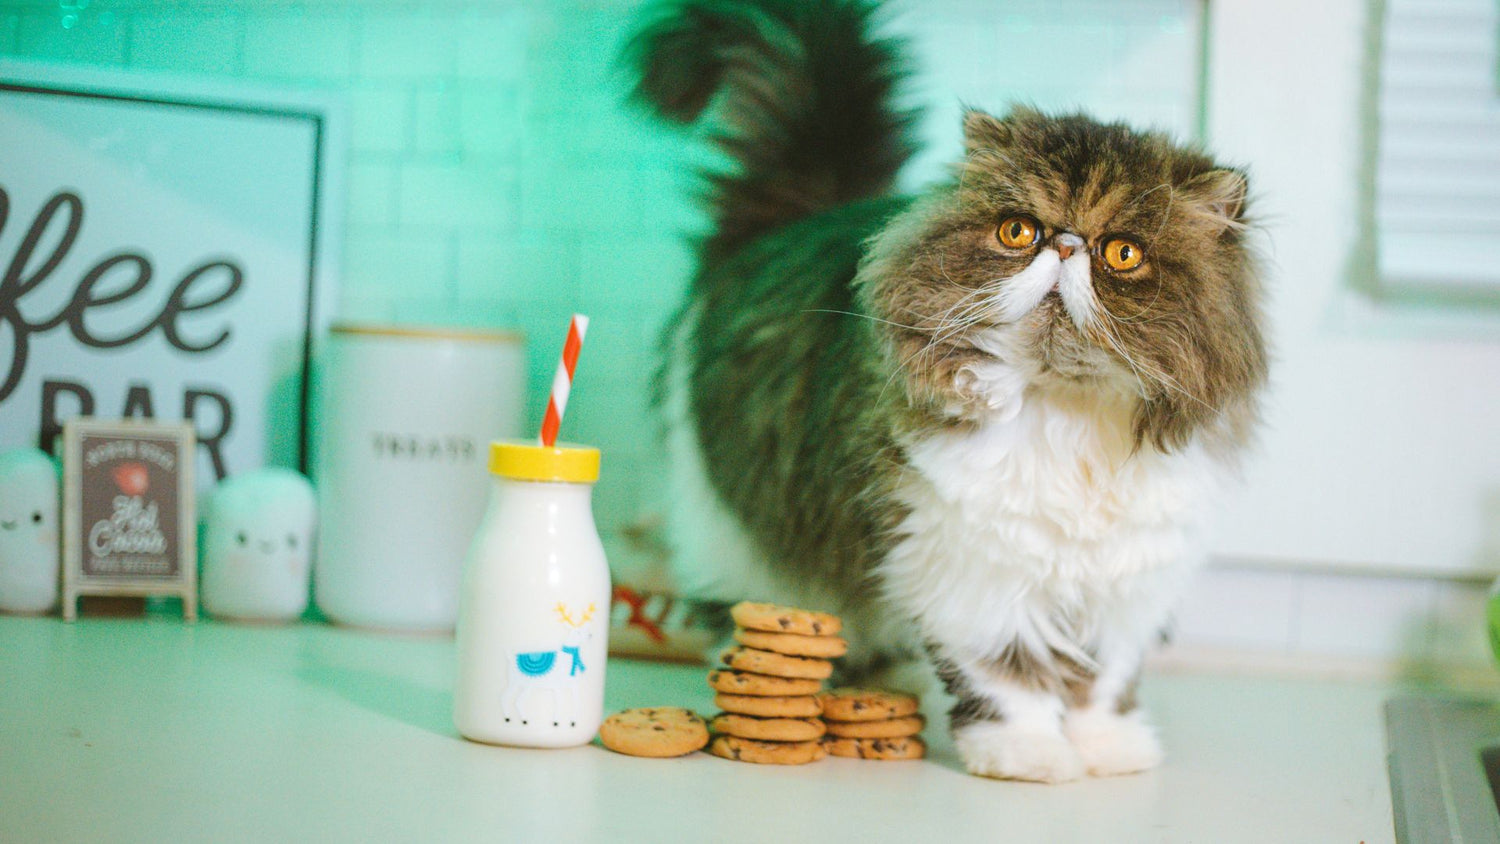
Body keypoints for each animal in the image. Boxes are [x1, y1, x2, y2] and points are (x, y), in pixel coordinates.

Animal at [621, 0, 1266, 785]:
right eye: (1018, 231)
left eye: (1123, 253)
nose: (1065, 245)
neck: (1067, 413)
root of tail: (795, 215)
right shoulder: (968, 568)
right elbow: (1009, 676)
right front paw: (1028, 756)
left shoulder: (1126, 583)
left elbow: (1100, 682)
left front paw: (1110, 751)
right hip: (737, 531)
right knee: (745, 603)